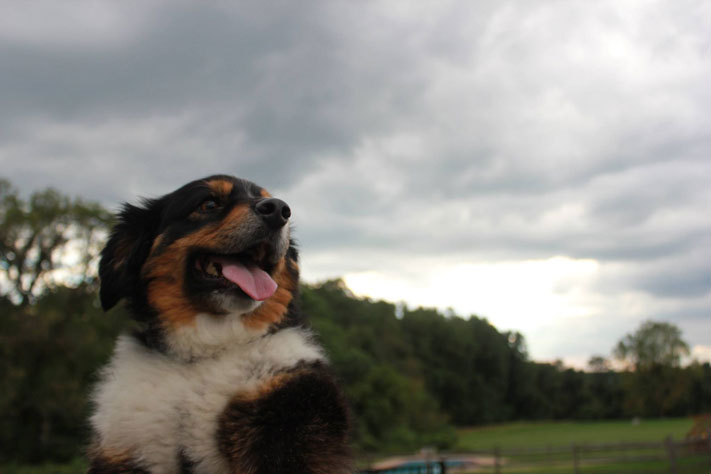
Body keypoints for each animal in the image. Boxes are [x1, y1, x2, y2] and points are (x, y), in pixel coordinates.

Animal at [89, 176, 354, 472]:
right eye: (209, 203)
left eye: (272, 200)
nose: (278, 210)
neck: (204, 354)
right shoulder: (124, 449)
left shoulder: (292, 417)